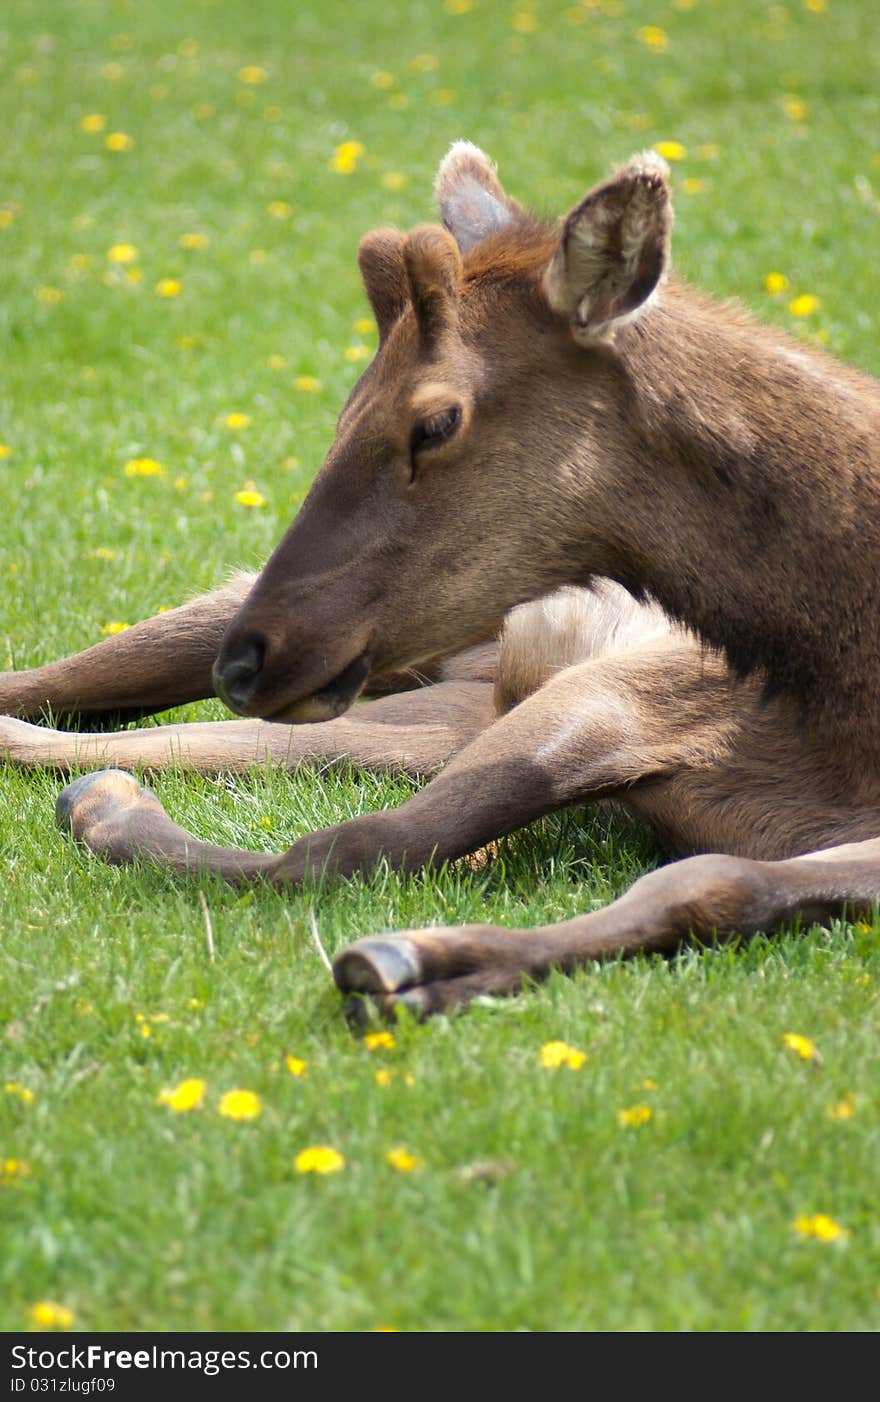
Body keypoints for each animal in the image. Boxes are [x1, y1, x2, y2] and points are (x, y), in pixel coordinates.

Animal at [1, 145, 880, 1020]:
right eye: (345, 411)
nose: (245, 661)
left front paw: (430, 968)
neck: (845, 710)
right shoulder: (615, 687)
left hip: (426, 705)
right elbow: (348, 845)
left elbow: (716, 882)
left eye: (433, 422)